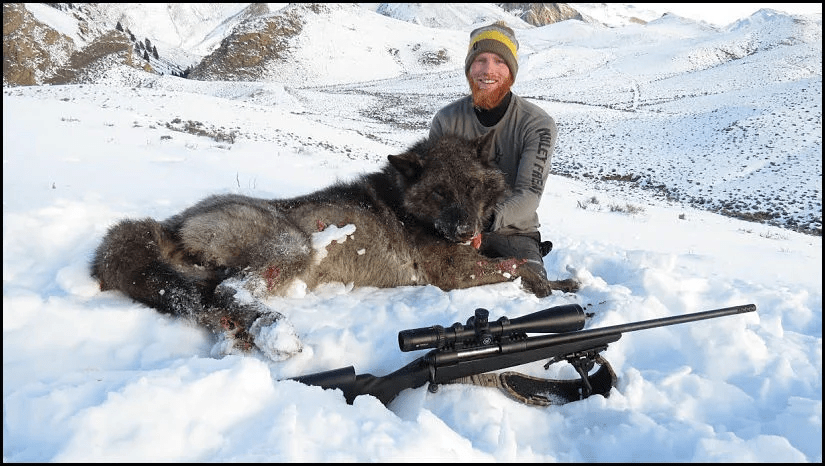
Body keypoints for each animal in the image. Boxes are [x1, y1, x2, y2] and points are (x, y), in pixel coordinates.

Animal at [90, 132, 580, 360]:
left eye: (472, 187)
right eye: (440, 192)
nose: (463, 230)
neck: (408, 205)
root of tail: (173, 222)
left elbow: (517, 260)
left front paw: (565, 284)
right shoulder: (453, 273)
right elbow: (518, 265)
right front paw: (545, 287)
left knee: (207, 299)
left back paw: (239, 332)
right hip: (293, 246)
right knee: (231, 290)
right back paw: (275, 332)